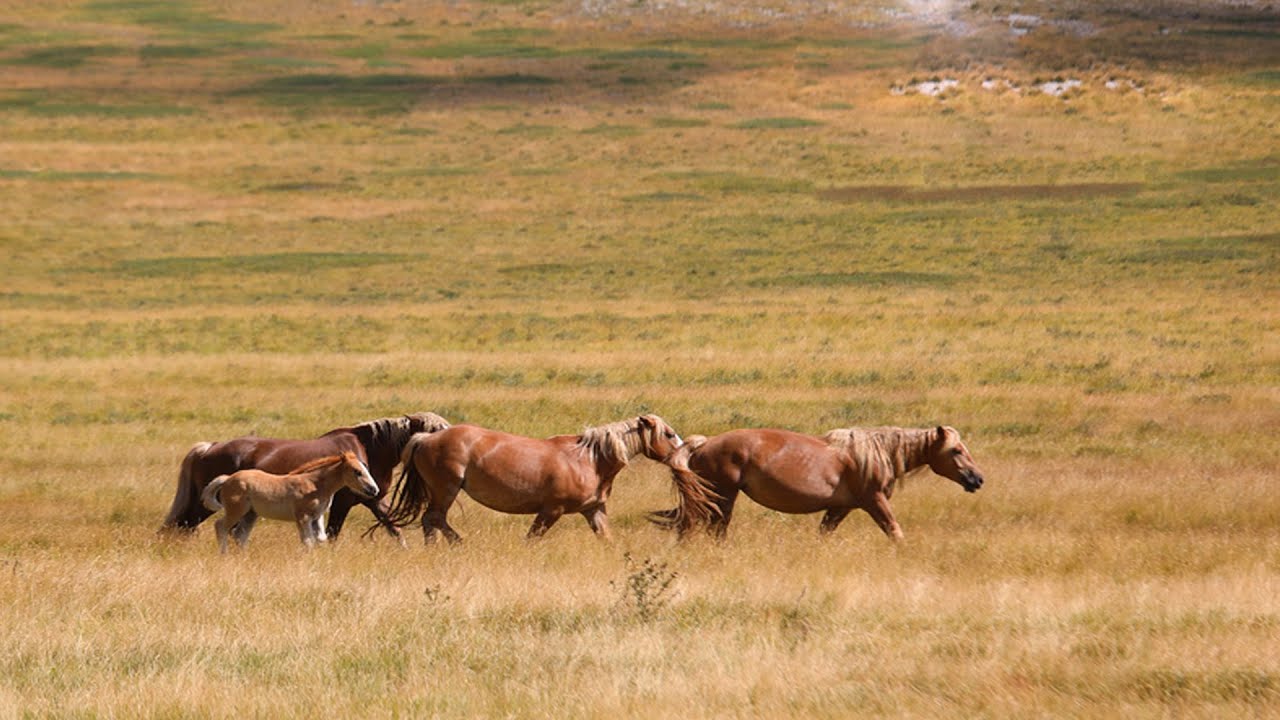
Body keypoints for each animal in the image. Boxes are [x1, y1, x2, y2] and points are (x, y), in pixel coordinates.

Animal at [159, 412, 451, 542]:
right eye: (437, 429)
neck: (367, 449)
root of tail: (209, 447)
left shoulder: (373, 499)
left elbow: (395, 530)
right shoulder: (343, 503)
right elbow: (332, 534)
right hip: (205, 505)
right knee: (180, 525)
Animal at [200, 452, 380, 553]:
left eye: (366, 469)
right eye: (357, 471)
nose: (374, 490)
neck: (315, 484)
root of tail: (227, 479)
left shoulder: (317, 517)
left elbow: (320, 539)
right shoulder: (303, 517)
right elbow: (308, 541)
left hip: (251, 514)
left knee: (240, 535)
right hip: (236, 511)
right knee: (221, 527)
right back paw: (224, 554)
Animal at [385, 414, 719, 542]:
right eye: (668, 434)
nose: (686, 453)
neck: (589, 460)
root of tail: (425, 439)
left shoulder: (594, 510)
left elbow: (607, 539)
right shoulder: (551, 511)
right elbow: (532, 539)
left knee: (431, 521)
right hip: (446, 489)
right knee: (434, 518)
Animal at [652, 425, 984, 540]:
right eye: (956, 450)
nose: (977, 479)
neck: (876, 454)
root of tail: (704, 443)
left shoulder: (839, 509)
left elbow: (823, 534)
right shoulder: (874, 501)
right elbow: (894, 531)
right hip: (724, 495)